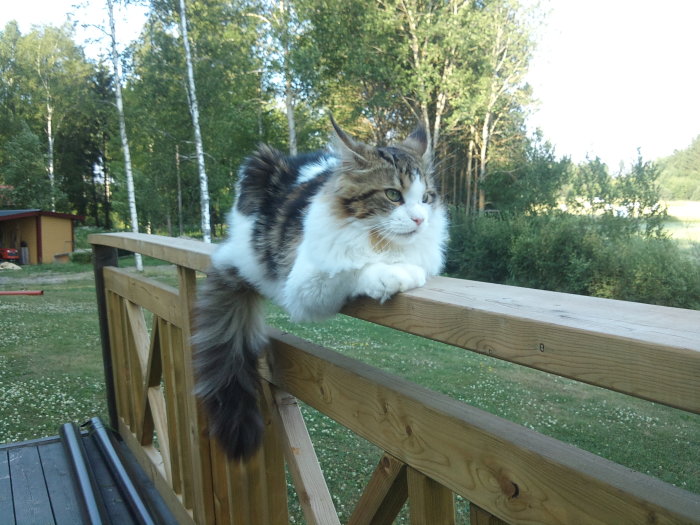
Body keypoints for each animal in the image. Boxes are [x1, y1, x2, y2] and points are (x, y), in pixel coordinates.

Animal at [193, 115, 448, 458]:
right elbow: (353, 268)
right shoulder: (303, 285)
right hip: (255, 174)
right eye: (393, 195)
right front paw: (393, 275)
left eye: (426, 198)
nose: (420, 220)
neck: (379, 240)